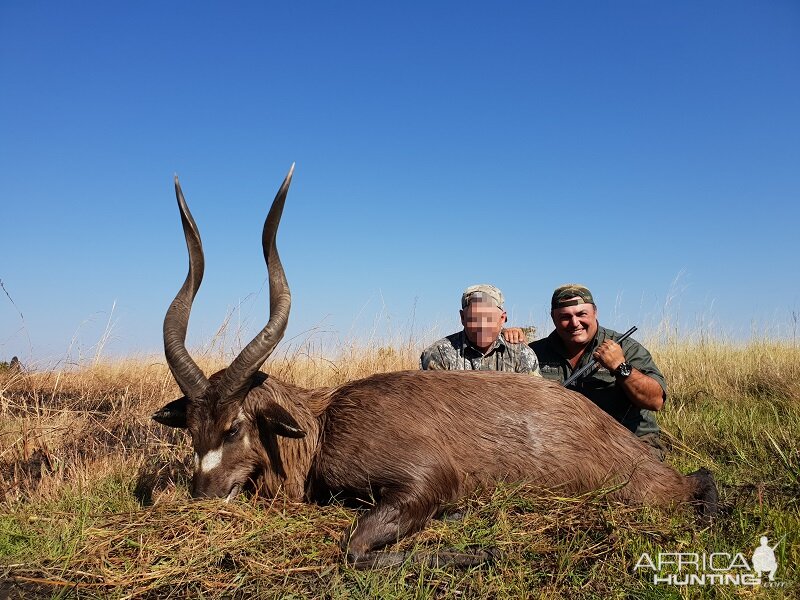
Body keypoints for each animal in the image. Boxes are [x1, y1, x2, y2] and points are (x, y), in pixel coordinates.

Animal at [152, 168, 720, 568]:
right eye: (192, 429)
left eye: (234, 427)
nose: (201, 501)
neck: (324, 421)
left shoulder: (423, 479)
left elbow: (354, 550)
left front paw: (479, 546)